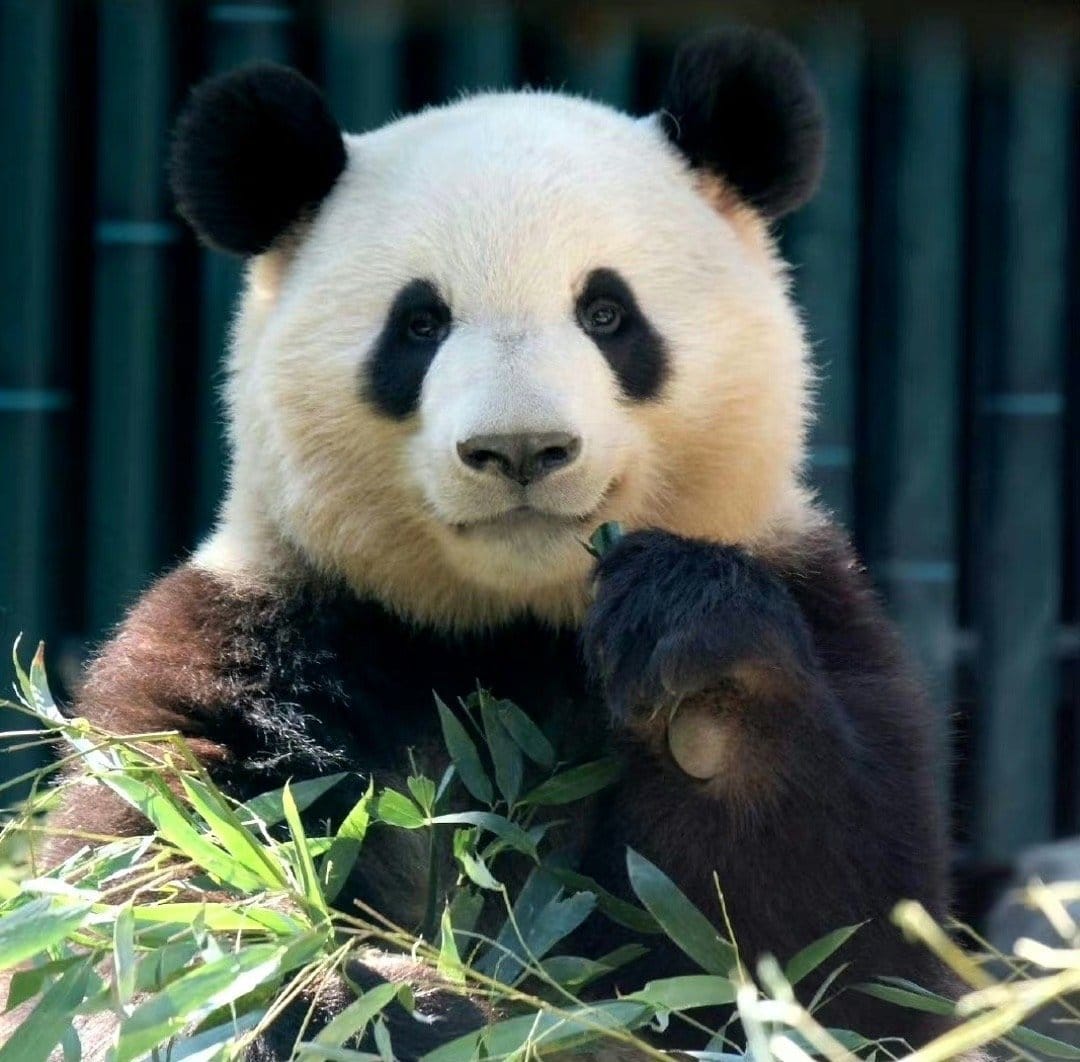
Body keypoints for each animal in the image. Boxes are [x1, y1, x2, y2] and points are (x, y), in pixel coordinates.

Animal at [36, 27, 972, 1061]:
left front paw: (701, 685)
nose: (521, 447)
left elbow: (833, 956)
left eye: (607, 313)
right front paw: (371, 998)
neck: (507, 630)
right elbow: (152, 908)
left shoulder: (823, 613)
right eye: (419, 323)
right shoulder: (254, 639)